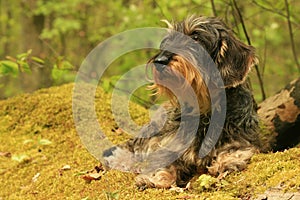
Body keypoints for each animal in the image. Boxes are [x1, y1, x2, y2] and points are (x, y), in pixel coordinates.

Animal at [102, 15, 262, 189]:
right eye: (168, 40)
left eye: (196, 37)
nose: (160, 60)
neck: (205, 111)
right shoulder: (167, 144)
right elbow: (162, 161)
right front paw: (154, 179)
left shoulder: (240, 138)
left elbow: (236, 150)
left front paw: (227, 161)